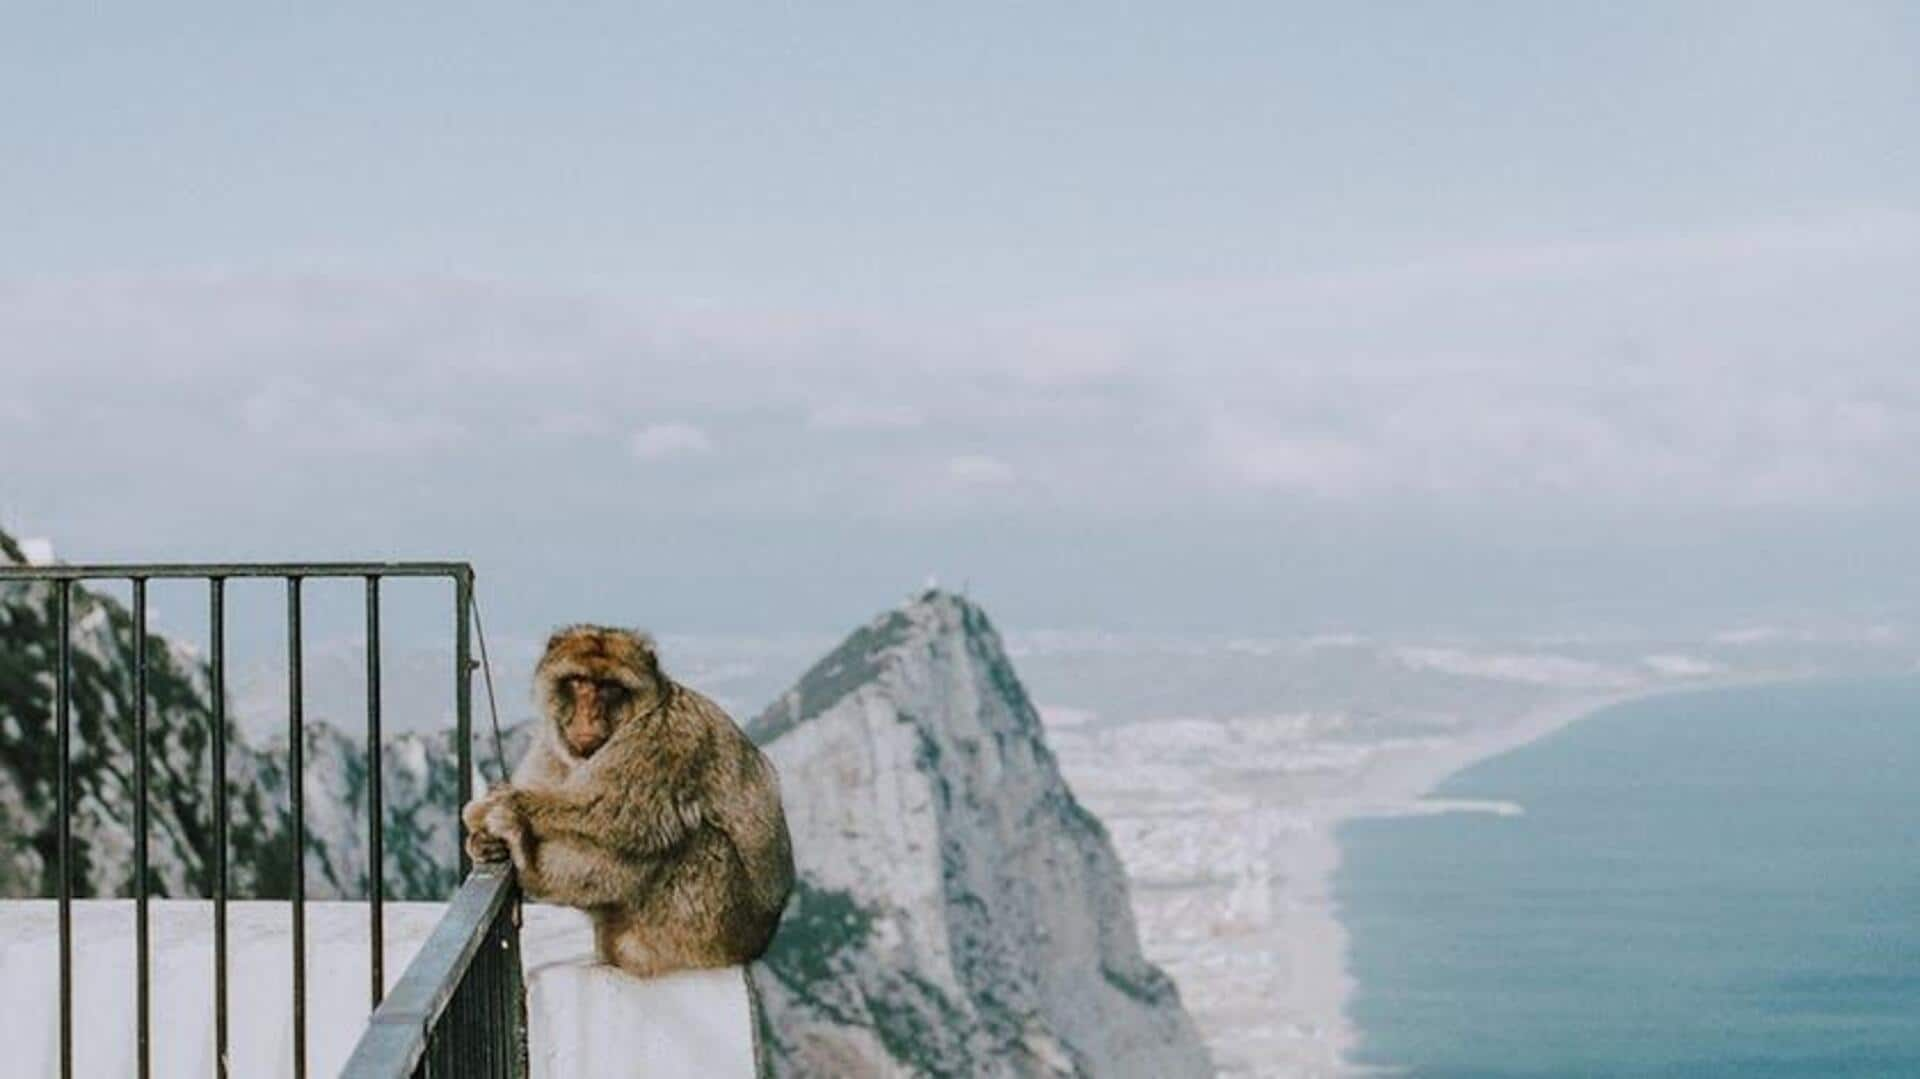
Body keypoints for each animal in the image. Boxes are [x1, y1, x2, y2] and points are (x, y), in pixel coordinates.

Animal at [464, 622, 794, 975]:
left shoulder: (663, 738)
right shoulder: (550, 747)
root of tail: (757, 945)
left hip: (710, 928)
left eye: (609, 687)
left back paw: (531, 868)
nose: (590, 715)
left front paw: (493, 808)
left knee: (675, 835)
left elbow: (614, 812)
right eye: (579, 681)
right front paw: (480, 841)